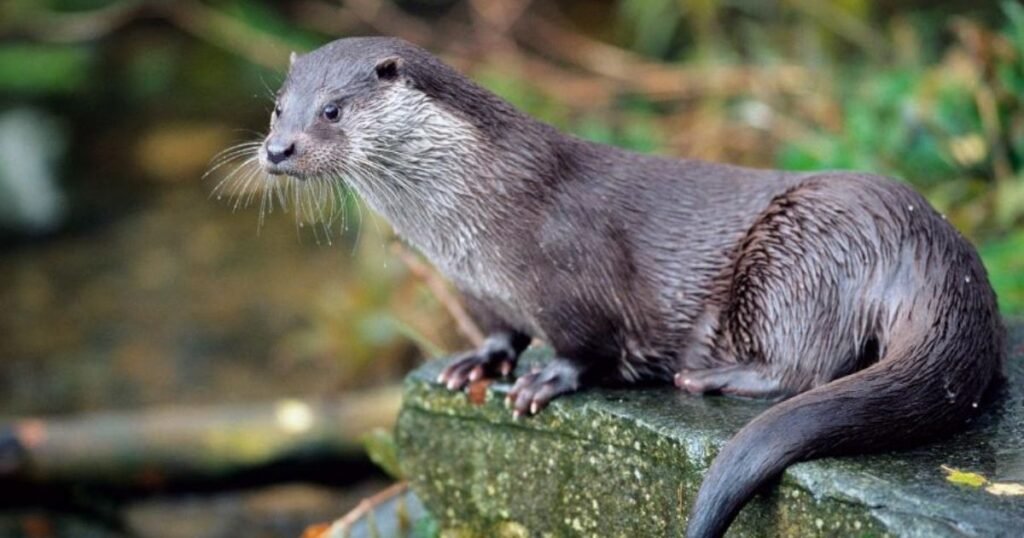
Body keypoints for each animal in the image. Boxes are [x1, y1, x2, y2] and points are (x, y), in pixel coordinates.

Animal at [236, 37, 1004, 537]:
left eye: (332, 110)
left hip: (803, 248)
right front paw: (479, 361)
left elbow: (589, 346)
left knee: (809, 365)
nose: (278, 149)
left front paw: (546, 380)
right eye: (277, 108)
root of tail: (935, 247)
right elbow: (500, 329)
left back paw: (711, 378)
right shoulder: (478, 287)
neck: (475, 217)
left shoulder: (571, 275)